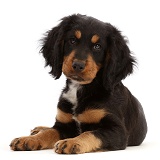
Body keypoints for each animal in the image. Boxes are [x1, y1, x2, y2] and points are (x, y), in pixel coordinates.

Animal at [10, 14, 148, 154]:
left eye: (97, 46)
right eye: (72, 40)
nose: (78, 65)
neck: (80, 89)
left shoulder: (117, 131)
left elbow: (90, 133)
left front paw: (72, 142)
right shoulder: (63, 125)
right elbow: (49, 132)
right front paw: (28, 140)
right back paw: (38, 129)